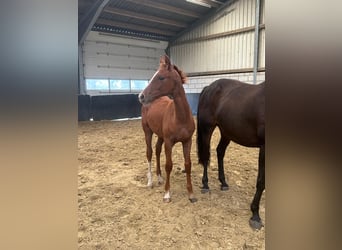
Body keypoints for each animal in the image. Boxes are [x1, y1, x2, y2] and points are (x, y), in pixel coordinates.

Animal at [138, 54, 196, 203]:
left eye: (161, 77)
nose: (141, 96)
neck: (180, 117)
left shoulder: (187, 141)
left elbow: (188, 165)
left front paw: (191, 194)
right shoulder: (169, 142)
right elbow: (169, 165)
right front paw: (167, 194)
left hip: (160, 135)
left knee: (157, 150)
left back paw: (159, 177)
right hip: (147, 131)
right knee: (150, 153)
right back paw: (150, 181)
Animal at [196, 79, 266, 229]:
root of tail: (209, 87)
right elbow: (261, 181)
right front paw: (255, 215)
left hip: (226, 132)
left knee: (220, 151)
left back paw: (223, 182)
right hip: (207, 129)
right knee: (206, 156)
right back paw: (205, 185)